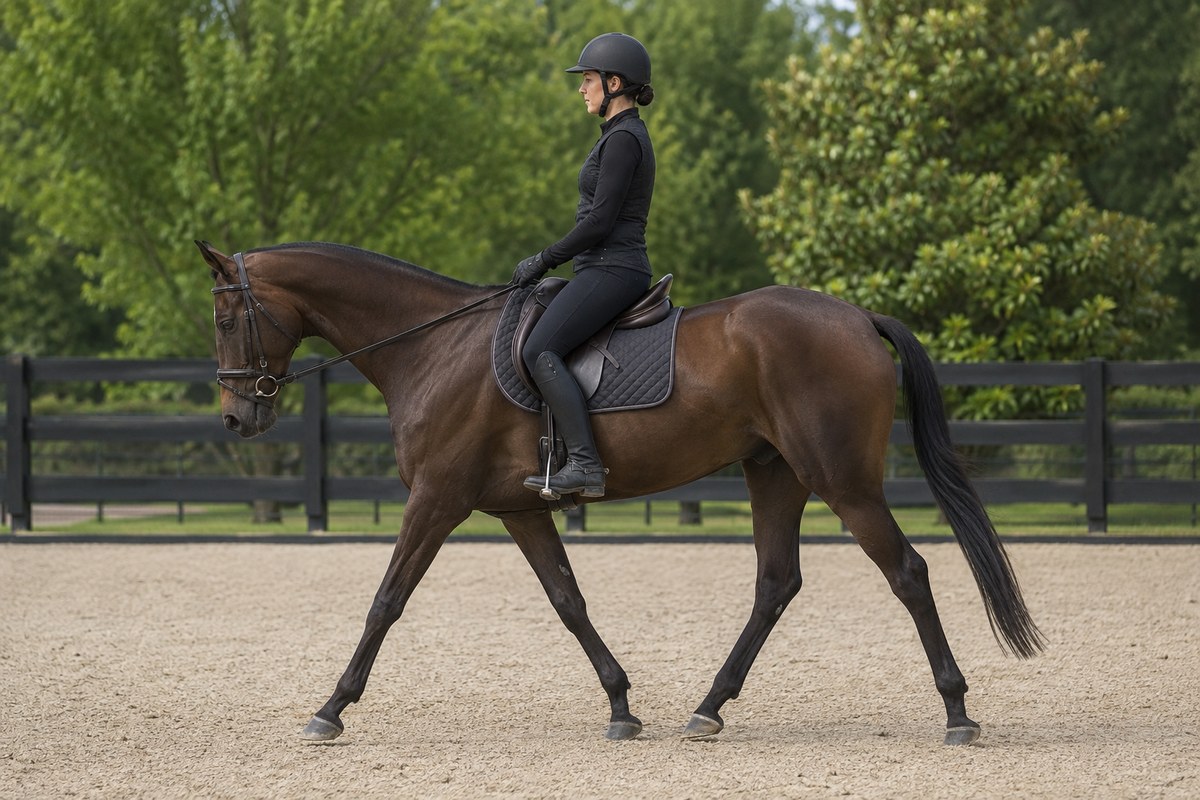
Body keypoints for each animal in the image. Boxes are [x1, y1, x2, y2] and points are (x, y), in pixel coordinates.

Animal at [196, 239, 1043, 747]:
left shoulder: (437, 499)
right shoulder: (519, 509)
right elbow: (568, 602)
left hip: (841, 480)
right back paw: (708, 708)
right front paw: (621, 705)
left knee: (907, 573)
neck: (433, 347)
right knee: (776, 583)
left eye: (227, 314)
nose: (238, 416)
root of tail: (859, 317)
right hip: (774, 472)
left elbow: (386, 600)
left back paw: (957, 710)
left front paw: (330, 708)